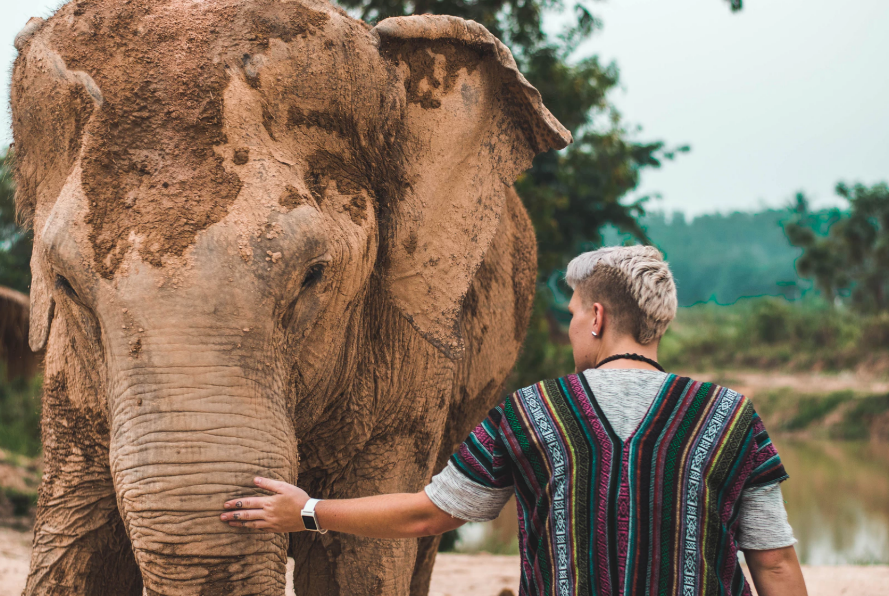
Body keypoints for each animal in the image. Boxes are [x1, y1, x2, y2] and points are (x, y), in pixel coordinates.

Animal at [8, 2, 568, 592]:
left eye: (312, 276)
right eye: (66, 284)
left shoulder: (408, 377)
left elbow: (362, 562)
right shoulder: (71, 379)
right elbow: (76, 550)